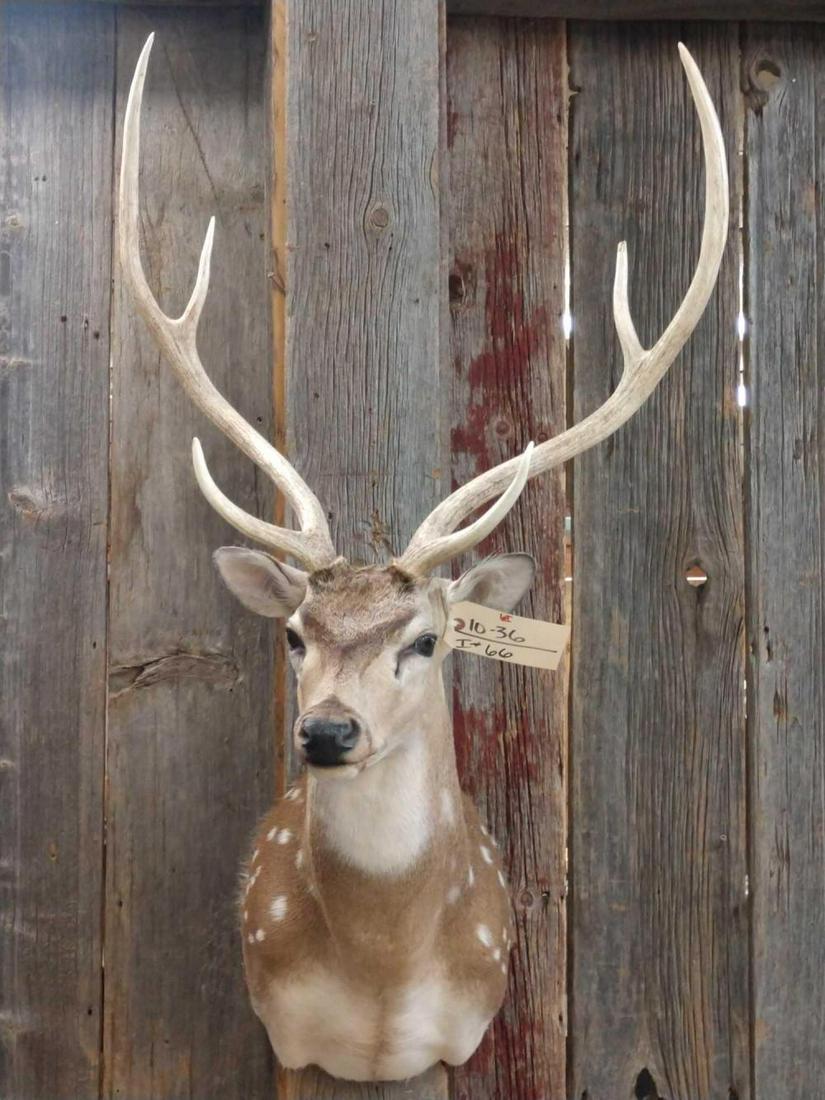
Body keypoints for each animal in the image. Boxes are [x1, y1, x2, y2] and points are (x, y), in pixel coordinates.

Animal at [119, 36, 728, 1083]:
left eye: (428, 640)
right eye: (293, 634)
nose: (327, 731)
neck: (379, 983)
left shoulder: (470, 1018)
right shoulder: (282, 1025)